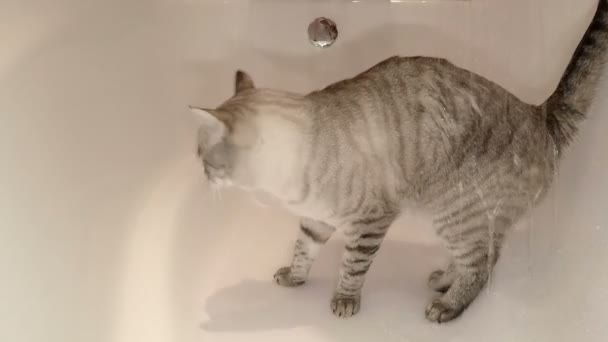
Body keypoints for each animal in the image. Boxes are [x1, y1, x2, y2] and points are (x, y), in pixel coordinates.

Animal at [191, 1, 608, 324]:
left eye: (200, 154)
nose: (200, 175)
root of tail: (540, 113)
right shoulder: (315, 220)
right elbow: (302, 252)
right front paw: (294, 277)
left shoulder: (371, 220)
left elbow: (352, 267)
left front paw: (344, 301)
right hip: (460, 218)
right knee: (481, 255)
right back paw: (443, 279)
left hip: (454, 214)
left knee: (483, 263)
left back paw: (447, 304)